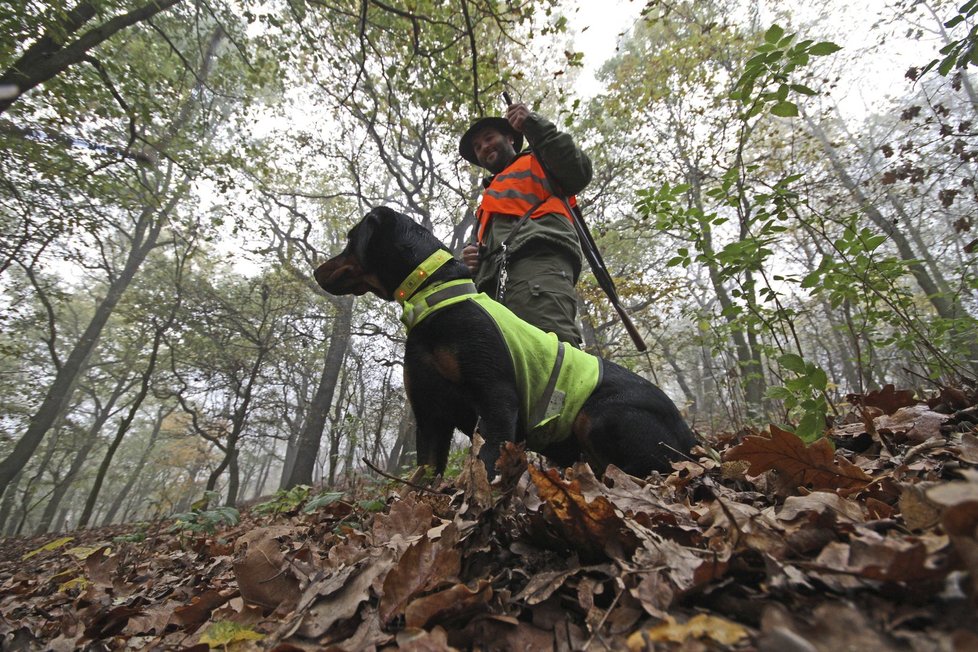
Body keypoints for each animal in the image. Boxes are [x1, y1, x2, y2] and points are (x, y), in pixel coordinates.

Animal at [314, 208, 692, 478]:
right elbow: (422, 478)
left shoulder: (496, 401)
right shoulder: (429, 415)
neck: (435, 296)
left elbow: (486, 462)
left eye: (350, 239)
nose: (317, 271)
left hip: (597, 416)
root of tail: (690, 435)